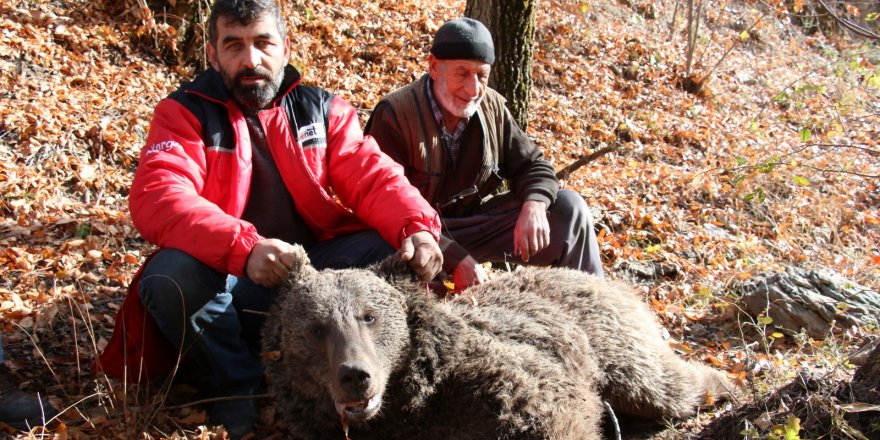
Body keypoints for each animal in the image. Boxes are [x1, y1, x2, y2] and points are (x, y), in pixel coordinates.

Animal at [262, 248, 736, 440]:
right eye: (317, 327)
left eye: (369, 316)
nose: (355, 375)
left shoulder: (504, 384)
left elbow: (555, 416)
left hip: (611, 345)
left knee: (661, 386)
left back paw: (725, 383)